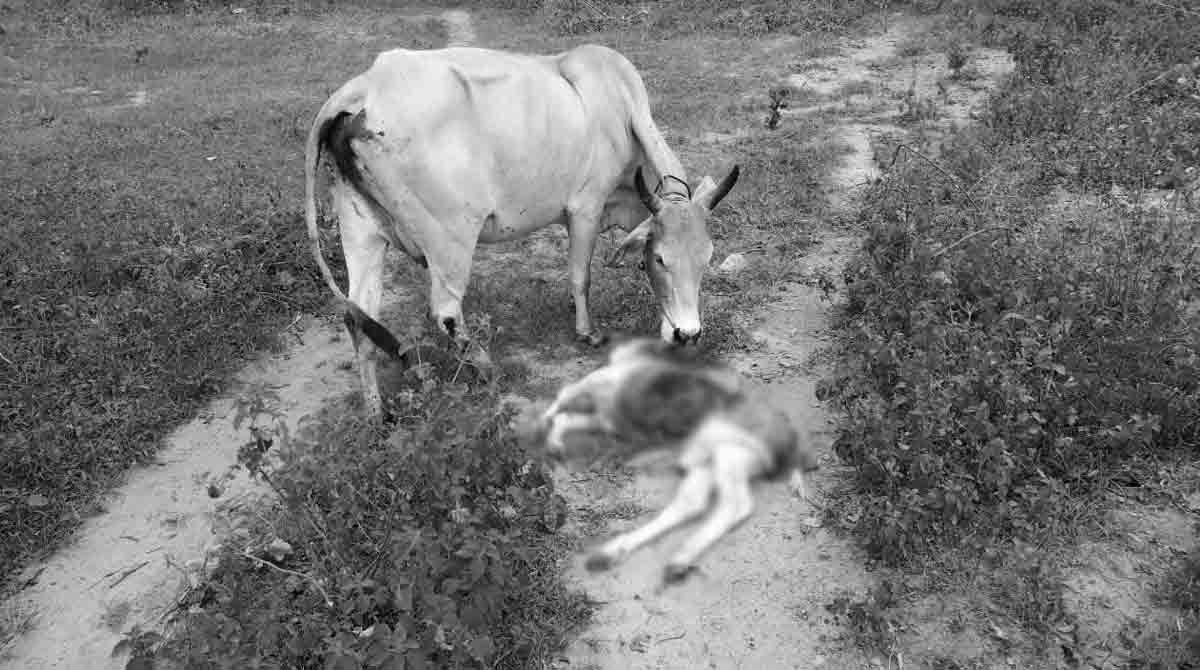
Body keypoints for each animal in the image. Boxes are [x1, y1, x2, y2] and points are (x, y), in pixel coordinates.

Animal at [303, 44, 741, 416]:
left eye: (707, 260)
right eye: (661, 259)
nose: (687, 334)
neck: (622, 109)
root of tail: (363, 88)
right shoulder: (586, 209)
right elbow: (581, 276)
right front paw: (587, 331)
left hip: (362, 233)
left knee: (359, 316)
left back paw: (376, 412)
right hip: (450, 240)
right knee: (444, 312)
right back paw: (483, 366)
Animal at [529, 338, 820, 584]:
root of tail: (793, 444)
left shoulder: (604, 390)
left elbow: (563, 398)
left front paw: (547, 430)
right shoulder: (606, 416)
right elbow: (566, 416)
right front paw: (552, 441)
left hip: (730, 453)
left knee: (735, 505)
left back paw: (677, 559)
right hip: (704, 458)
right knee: (691, 504)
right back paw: (617, 555)